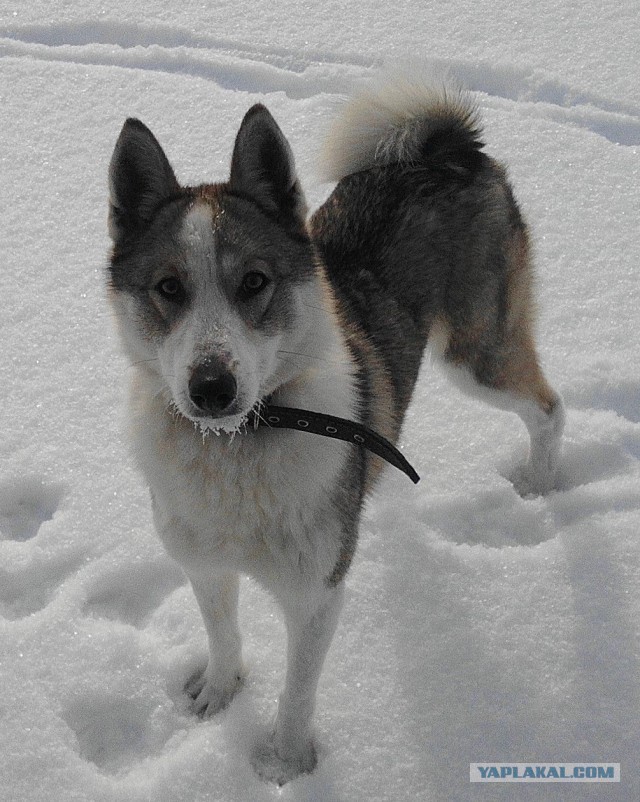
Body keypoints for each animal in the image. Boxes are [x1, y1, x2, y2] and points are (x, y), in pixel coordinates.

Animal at [107, 70, 564, 780]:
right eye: (168, 288)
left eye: (254, 281)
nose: (211, 389)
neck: (238, 446)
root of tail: (447, 150)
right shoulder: (202, 561)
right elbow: (223, 633)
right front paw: (218, 693)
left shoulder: (316, 595)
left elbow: (297, 692)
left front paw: (285, 766)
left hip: (477, 353)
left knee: (548, 408)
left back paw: (541, 484)